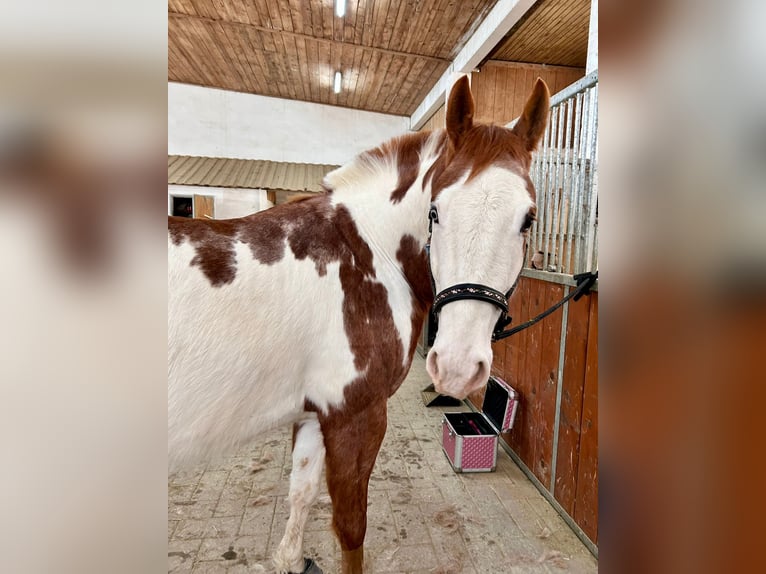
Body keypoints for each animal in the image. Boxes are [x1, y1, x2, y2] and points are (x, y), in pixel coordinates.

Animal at [168, 76, 549, 574]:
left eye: (528, 219)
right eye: (435, 212)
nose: (457, 366)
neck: (365, 254)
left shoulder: (314, 414)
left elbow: (301, 493)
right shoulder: (356, 416)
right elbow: (351, 530)